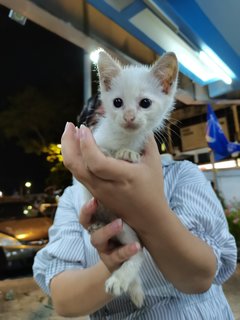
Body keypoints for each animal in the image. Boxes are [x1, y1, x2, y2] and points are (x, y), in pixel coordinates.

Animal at [80, 50, 178, 308]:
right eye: (117, 102)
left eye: (145, 103)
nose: (129, 116)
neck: (124, 138)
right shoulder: (98, 138)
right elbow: (101, 148)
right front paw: (109, 152)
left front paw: (127, 154)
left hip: (125, 225)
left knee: (139, 251)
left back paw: (121, 279)